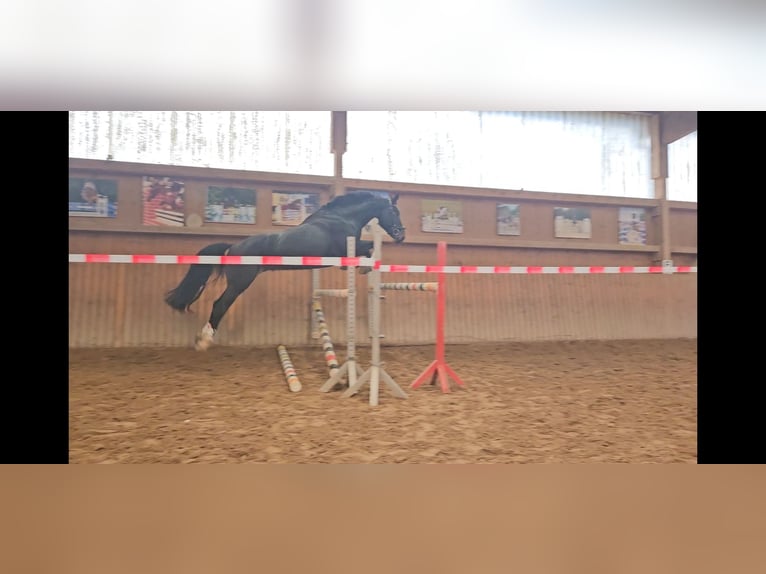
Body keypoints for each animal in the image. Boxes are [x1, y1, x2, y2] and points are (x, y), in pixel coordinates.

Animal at [165, 192, 408, 352]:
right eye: (393, 211)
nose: (400, 235)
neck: (341, 218)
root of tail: (233, 247)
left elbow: (368, 249)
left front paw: (365, 266)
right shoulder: (344, 249)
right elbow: (369, 247)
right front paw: (365, 265)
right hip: (240, 283)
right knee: (220, 305)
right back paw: (204, 340)